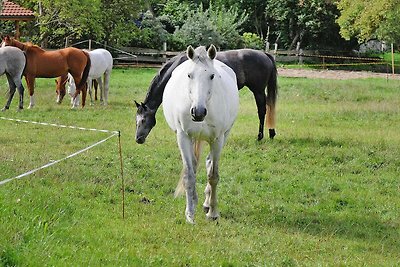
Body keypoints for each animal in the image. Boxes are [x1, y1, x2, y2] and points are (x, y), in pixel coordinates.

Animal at [136, 48, 276, 144]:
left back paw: (260, 136)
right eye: (136, 120)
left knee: (262, 111)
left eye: (143, 120)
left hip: (258, 91)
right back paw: (271, 133)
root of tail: (264, 54)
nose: (138, 139)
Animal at [162, 44, 239, 224]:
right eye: (189, 75)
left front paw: (213, 212)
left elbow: (213, 176)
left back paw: (206, 203)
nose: (198, 112)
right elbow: (189, 175)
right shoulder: (183, 137)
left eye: (212, 75)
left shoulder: (217, 139)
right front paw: (190, 214)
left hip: (224, 136)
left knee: (209, 162)